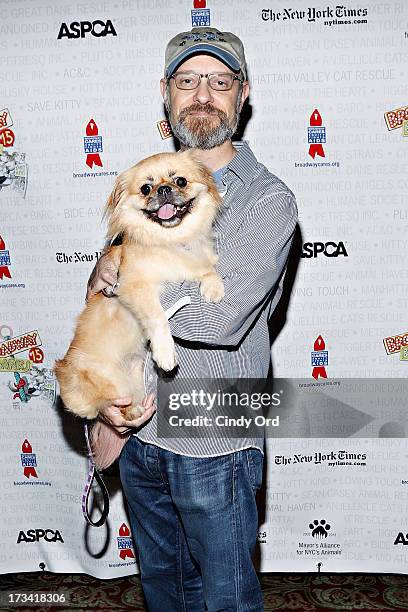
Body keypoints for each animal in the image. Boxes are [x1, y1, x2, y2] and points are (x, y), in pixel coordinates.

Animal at [54, 152, 223, 468]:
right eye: (146, 188)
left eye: (180, 180)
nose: (164, 189)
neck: (171, 241)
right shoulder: (133, 286)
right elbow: (157, 318)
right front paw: (166, 353)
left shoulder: (193, 260)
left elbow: (205, 267)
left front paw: (213, 286)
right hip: (110, 387)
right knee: (102, 408)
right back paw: (130, 412)